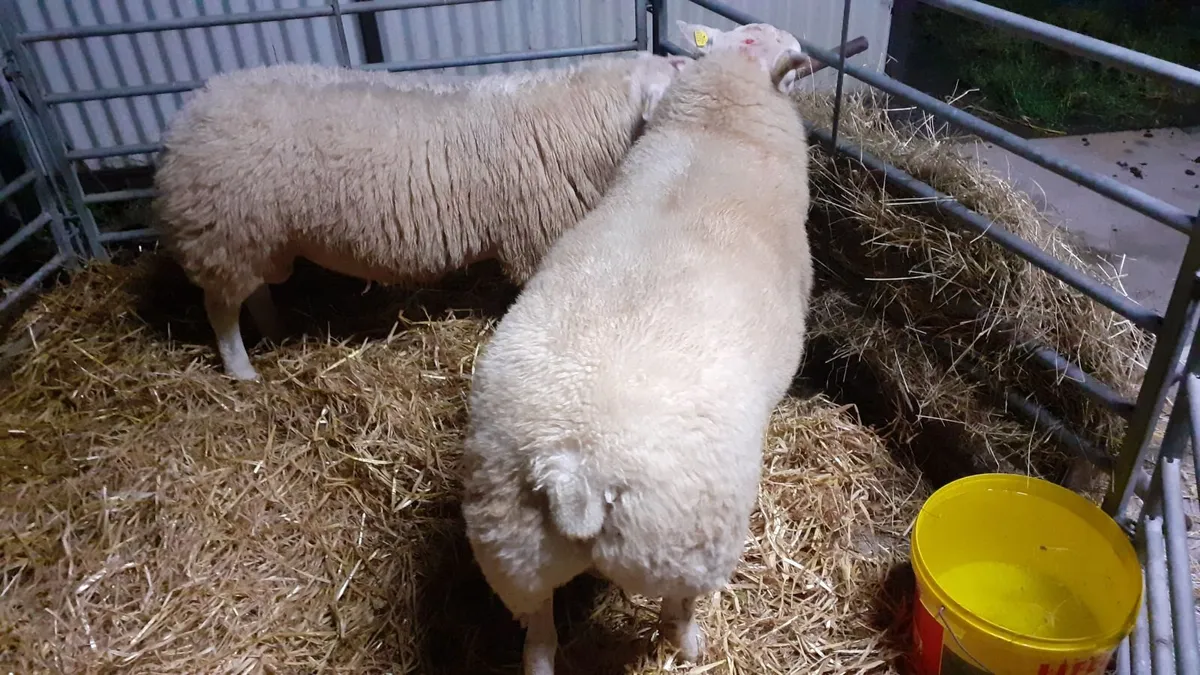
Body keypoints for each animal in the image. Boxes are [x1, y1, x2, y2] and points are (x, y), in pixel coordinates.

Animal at [153, 53, 690, 382]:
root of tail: (191, 111)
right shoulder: (538, 237)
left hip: (256, 236)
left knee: (255, 290)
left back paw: (277, 330)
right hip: (224, 228)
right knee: (221, 310)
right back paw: (242, 370)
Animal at [460, 21, 814, 674]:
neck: (717, 130)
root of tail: (576, 469)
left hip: (510, 548)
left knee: (538, 635)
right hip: (683, 544)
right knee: (679, 608)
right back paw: (693, 644)